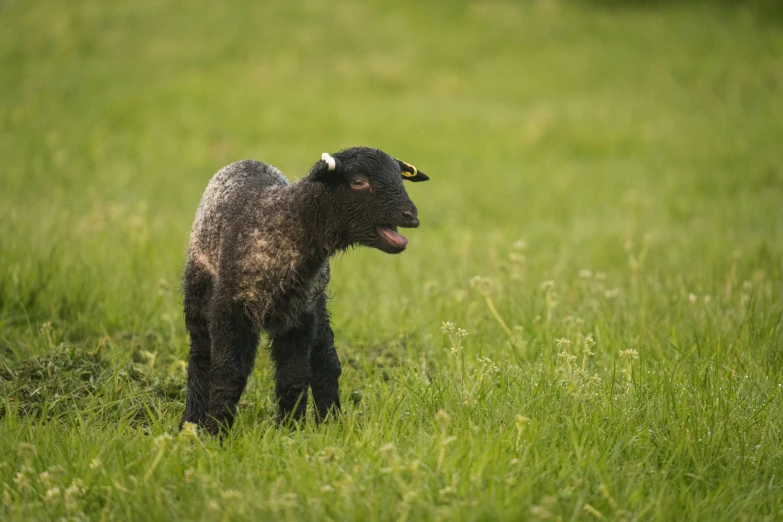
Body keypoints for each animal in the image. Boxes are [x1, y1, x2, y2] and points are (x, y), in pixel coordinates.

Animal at [181, 144, 432, 432]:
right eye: (358, 182)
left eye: (399, 179)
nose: (411, 216)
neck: (284, 226)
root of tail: (246, 161)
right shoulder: (228, 309)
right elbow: (227, 375)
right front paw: (215, 432)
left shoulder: (300, 315)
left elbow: (294, 376)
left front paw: (290, 430)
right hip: (199, 291)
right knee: (201, 357)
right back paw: (190, 421)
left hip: (317, 305)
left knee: (326, 361)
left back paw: (331, 423)